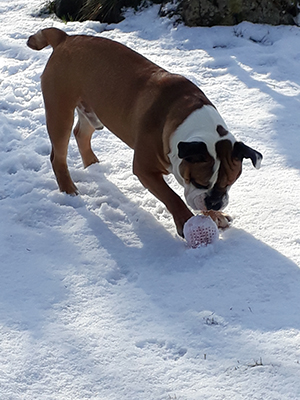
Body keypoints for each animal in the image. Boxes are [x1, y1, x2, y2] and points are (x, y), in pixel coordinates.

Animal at [28, 28, 262, 238]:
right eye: (198, 182)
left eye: (230, 183)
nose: (215, 202)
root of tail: (65, 38)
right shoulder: (145, 169)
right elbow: (172, 197)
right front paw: (186, 222)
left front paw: (215, 215)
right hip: (60, 112)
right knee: (58, 155)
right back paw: (69, 188)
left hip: (92, 113)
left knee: (81, 133)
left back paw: (93, 164)